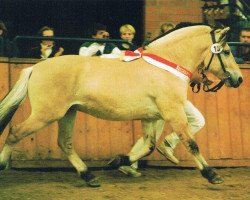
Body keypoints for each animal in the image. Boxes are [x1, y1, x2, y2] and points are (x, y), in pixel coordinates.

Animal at [0, 24, 242, 187]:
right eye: (227, 51)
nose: (238, 79)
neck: (165, 65)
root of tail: (35, 68)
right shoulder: (173, 112)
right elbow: (191, 144)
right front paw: (212, 175)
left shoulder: (151, 117)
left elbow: (148, 146)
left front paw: (118, 161)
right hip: (47, 114)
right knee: (14, 132)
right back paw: (3, 164)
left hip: (68, 112)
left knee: (65, 143)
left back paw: (89, 176)